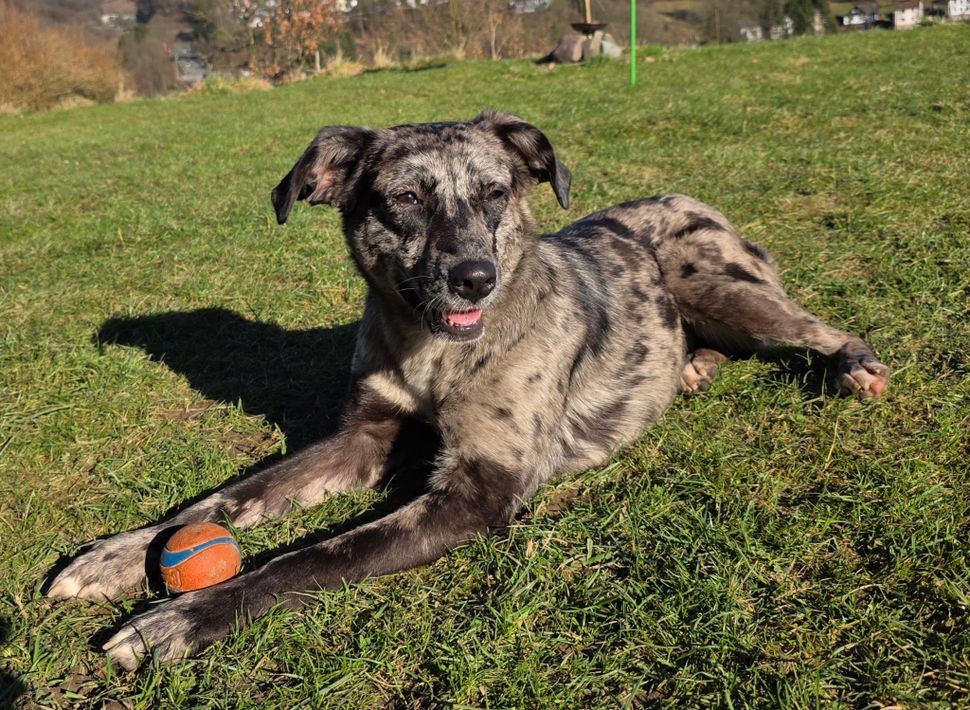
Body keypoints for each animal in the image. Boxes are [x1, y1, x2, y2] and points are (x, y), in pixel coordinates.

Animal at [47, 111, 889, 669]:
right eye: (405, 199)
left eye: (495, 193)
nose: (473, 277)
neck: (434, 354)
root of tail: (691, 198)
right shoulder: (360, 438)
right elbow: (223, 501)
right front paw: (119, 554)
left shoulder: (480, 489)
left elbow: (312, 557)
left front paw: (183, 616)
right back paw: (693, 367)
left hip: (712, 280)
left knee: (813, 327)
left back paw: (852, 364)